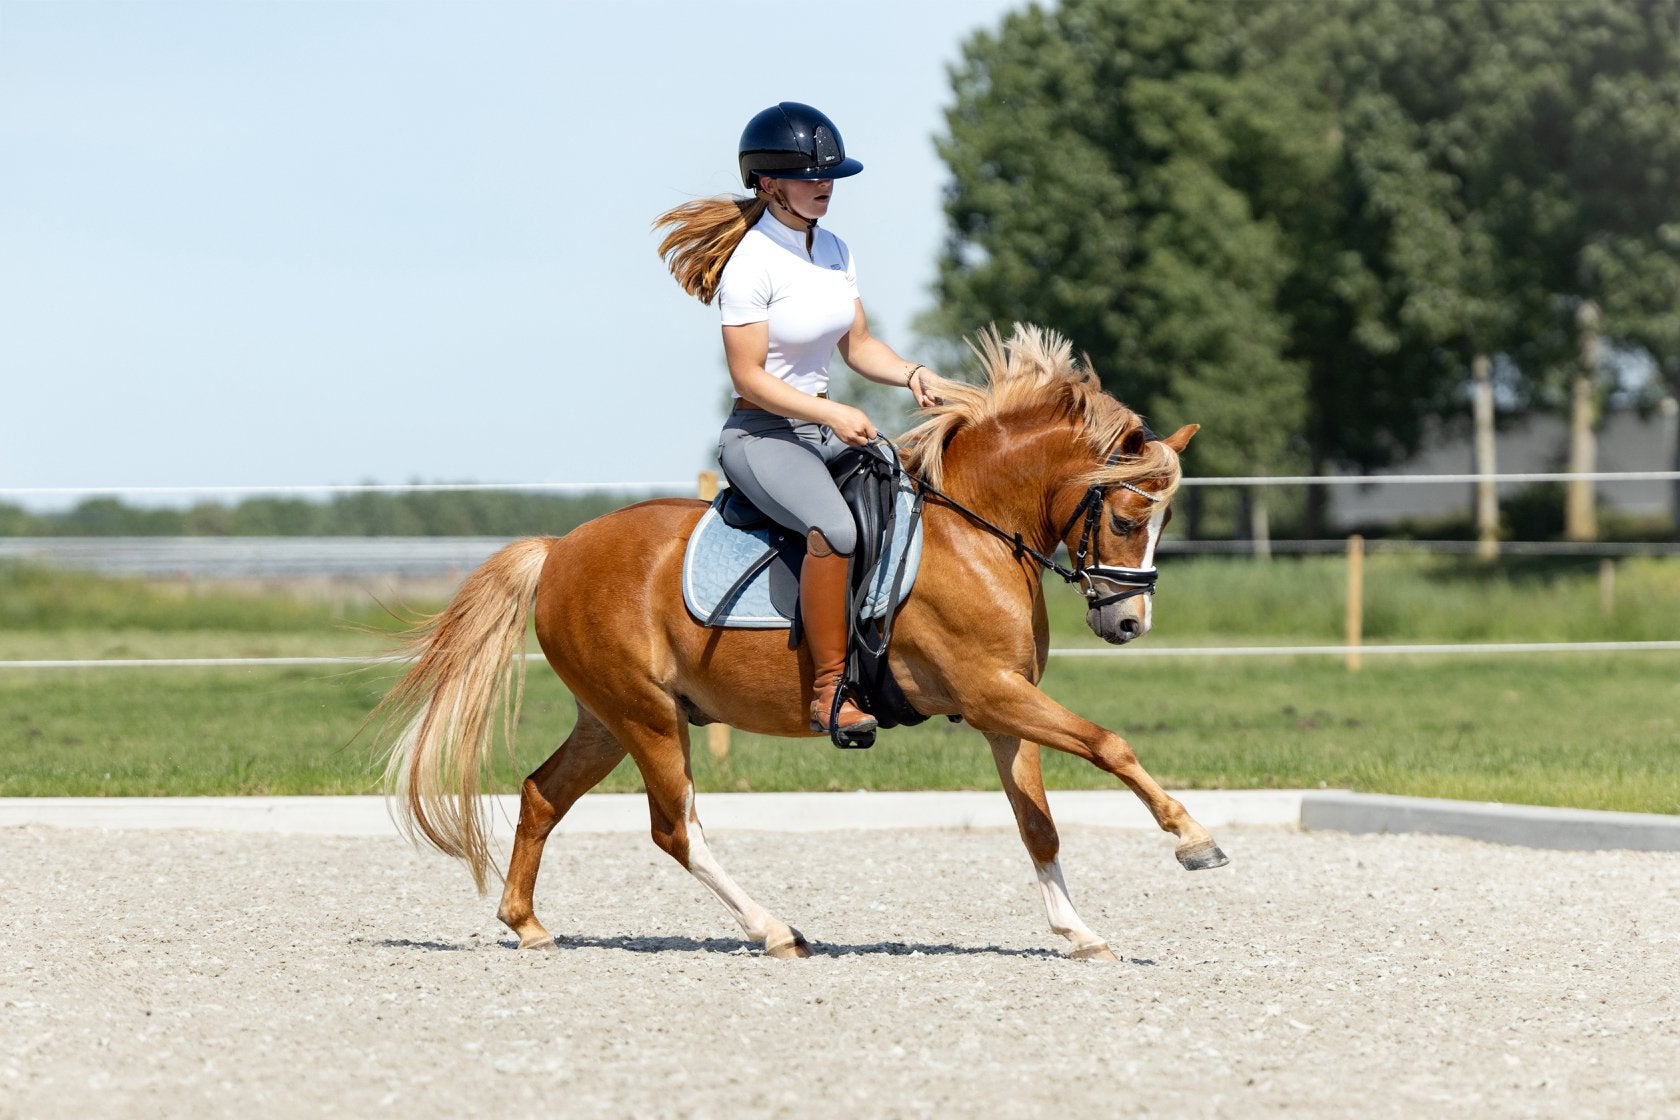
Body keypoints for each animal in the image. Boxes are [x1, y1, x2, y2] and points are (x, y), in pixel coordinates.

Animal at [374, 323, 1228, 961]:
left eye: (1163, 520)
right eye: (1127, 517)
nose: (1127, 624)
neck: (976, 530)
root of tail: (559, 550)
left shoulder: (1001, 709)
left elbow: (1038, 823)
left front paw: (1079, 932)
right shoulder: (991, 691)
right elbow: (1109, 743)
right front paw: (1194, 841)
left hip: (610, 718)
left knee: (541, 794)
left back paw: (527, 926)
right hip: (648, 717)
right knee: (676, 828)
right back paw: (774, 930)